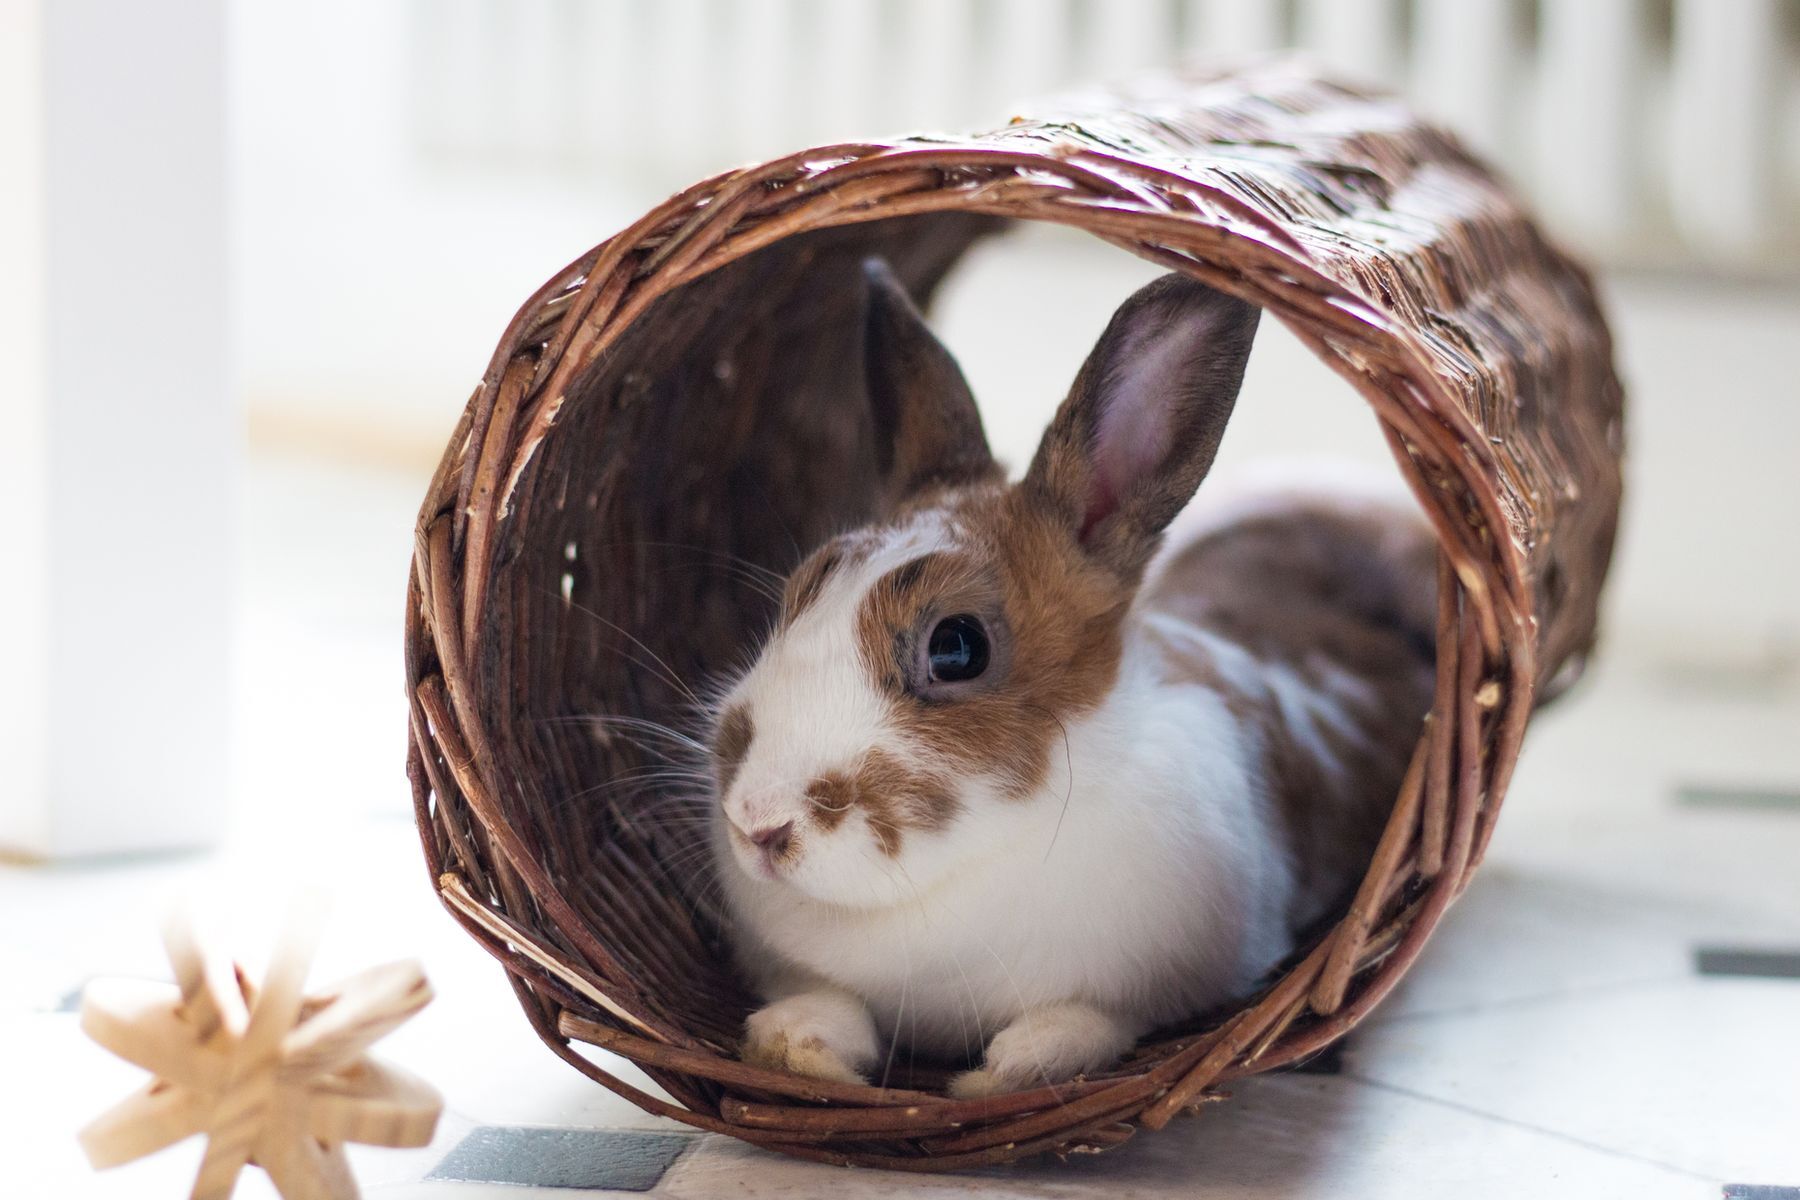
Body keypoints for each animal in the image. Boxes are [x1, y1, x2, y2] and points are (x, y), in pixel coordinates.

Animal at [705, 258, 1438, 1097]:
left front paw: (1004, 1072)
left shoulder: (1168, 986)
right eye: (797, 591)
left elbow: (1092, 1021)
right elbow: (832, 1001)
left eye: (957, 648)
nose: (756, 821)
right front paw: (793, 1042)